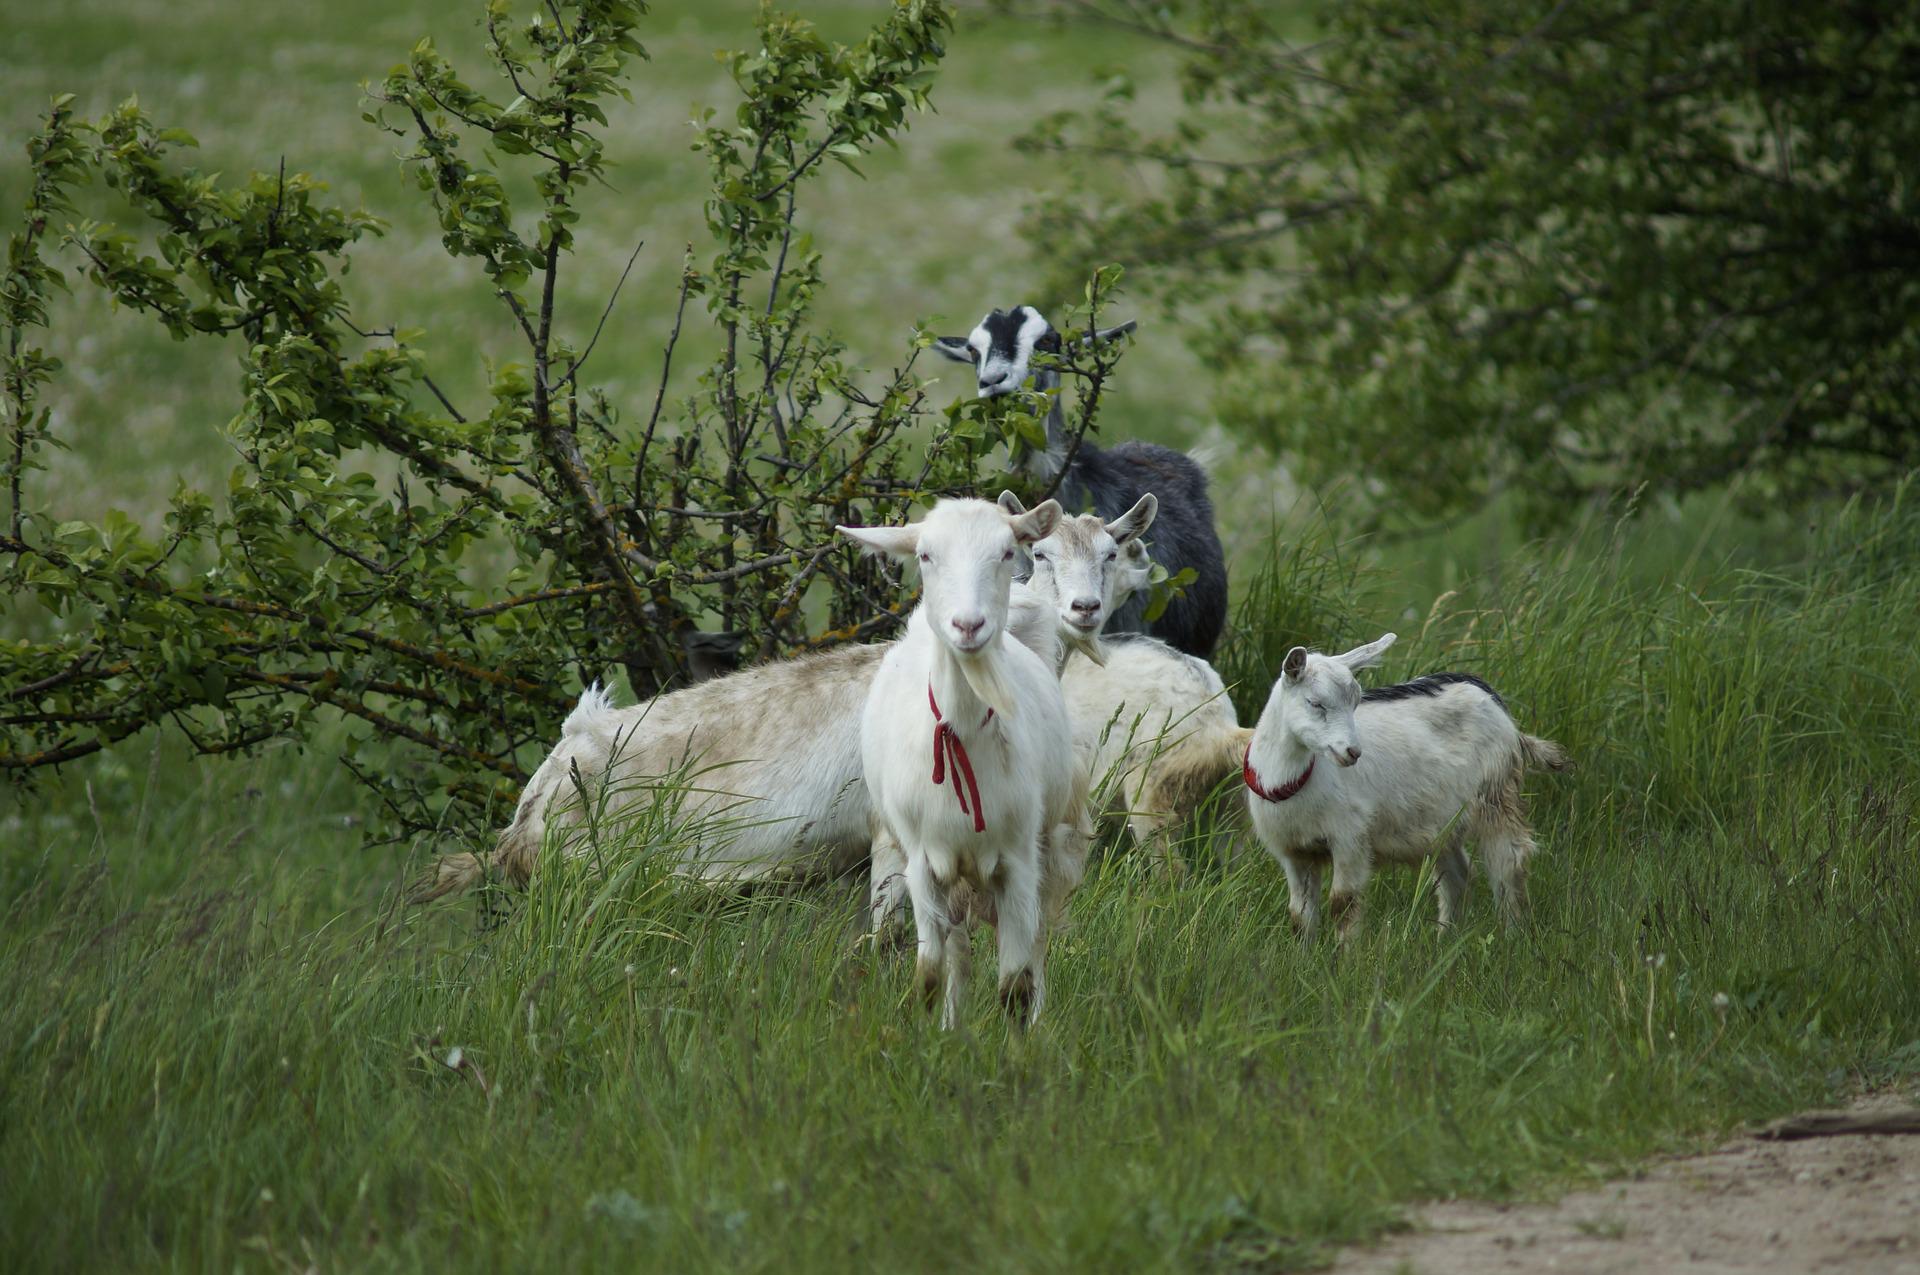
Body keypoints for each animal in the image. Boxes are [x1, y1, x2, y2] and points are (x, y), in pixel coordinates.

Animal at [840, 497, 1087, 1029]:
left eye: (1006, 552)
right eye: (925, 555)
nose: (968, 626)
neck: (962, 735)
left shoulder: (1017, 859)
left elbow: (1015, 984)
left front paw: (1021, 1045)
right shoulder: (922, 861)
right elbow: (929, 974)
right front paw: (933, 1037)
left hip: (1050, 844)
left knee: (1038, 942)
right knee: (958, 953)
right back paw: (953, 1025)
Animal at [1243, 634, 1571, 941]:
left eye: (1356, 702)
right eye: (1315, 703)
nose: (1352, 752)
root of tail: (1489, 696)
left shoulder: (1350, 838)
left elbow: (1343, 905)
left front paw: (1344, 960)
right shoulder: (1294, 852)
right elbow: (1300, 916)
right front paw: (1305, 957)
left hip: (1496, 793)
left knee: (1508, 863)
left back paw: (1513, 937)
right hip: (1439, 817)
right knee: (1457, 875)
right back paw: (1444, 941)